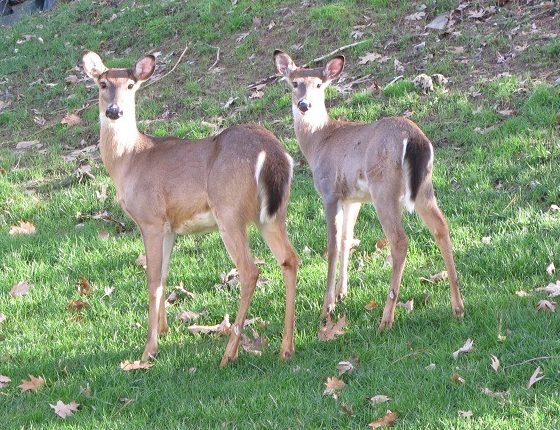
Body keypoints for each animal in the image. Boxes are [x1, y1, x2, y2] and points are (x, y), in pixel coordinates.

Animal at [82, 50, 298, 366]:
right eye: (102, 84)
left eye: (131, 85)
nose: (114, 111)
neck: (130, 160)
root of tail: (272, 152)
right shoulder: (170, 226)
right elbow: (163, 275)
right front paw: (163, 329)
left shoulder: (151, 219)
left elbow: (152, 281)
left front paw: (149, 349)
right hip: (271, 214)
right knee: (289, 259)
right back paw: (286, 348)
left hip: (229, 210)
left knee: (249, 271)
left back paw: (229, 354)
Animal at [272, 49, 464, 330]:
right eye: (294, 83)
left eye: (319, 85)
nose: (304, 105)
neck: (319, 141)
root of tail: (415, 139)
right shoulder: (353, 198)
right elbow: (346, 239)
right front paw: (342, 293)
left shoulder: (329, 192)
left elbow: (332, 246)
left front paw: (327, 307)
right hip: (424, 187)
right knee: (441, 226)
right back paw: (457, 306)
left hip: (384, 187)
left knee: (399, 240)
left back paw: (386, 318)